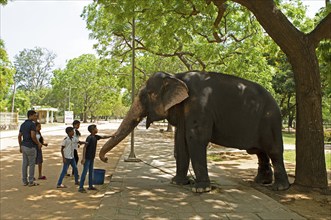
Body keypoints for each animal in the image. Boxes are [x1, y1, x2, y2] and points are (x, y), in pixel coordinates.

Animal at [99, 71, 290, 192]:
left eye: (149, 94)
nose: (106, 159)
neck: (177, 76)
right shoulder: (185, 109)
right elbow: (181, 141)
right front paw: (178, 183)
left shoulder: (199, 105)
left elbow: (194, 139)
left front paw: (200, 189)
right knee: (259, 151)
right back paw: (261, 181)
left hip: (270, 120)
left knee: (273, 150)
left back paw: (280, 187)